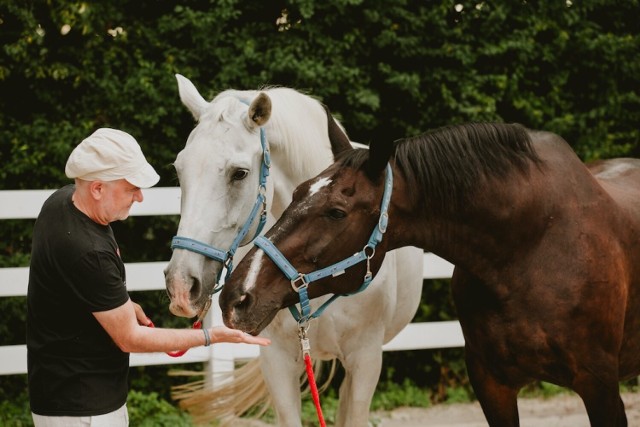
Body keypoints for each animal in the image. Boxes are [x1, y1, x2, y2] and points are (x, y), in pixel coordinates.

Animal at [220, 122, 640, 426]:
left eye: (336, 212)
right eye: (295, 194)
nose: (236, 296)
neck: (532, 249)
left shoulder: (600, 387)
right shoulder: (493, 386)